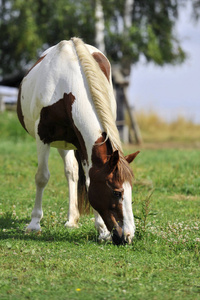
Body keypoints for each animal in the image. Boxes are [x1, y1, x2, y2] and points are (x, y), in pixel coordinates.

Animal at [16, 37, 139, 245]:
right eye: (117, 192)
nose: (128, 236)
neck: (66, 88)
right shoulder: (43, 138)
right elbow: (42, 177)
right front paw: (34, 224)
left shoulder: (84, 146)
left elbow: (90, 182)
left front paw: (102, 231)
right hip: (62, 143)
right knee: (70, 172)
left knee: (72, 173)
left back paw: (72, 219)